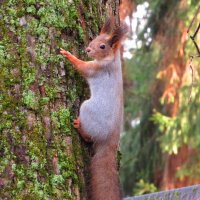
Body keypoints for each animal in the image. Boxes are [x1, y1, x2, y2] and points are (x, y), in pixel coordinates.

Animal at [60, 17, 128, 200]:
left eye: (103, 46)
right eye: (94, 38)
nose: (88, 49)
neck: (111, 60)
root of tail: (110, 139)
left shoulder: (95, 69)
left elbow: (81, 67)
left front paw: (68, 54)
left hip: (87, 110)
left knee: (89, 137)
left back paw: (79, 127)